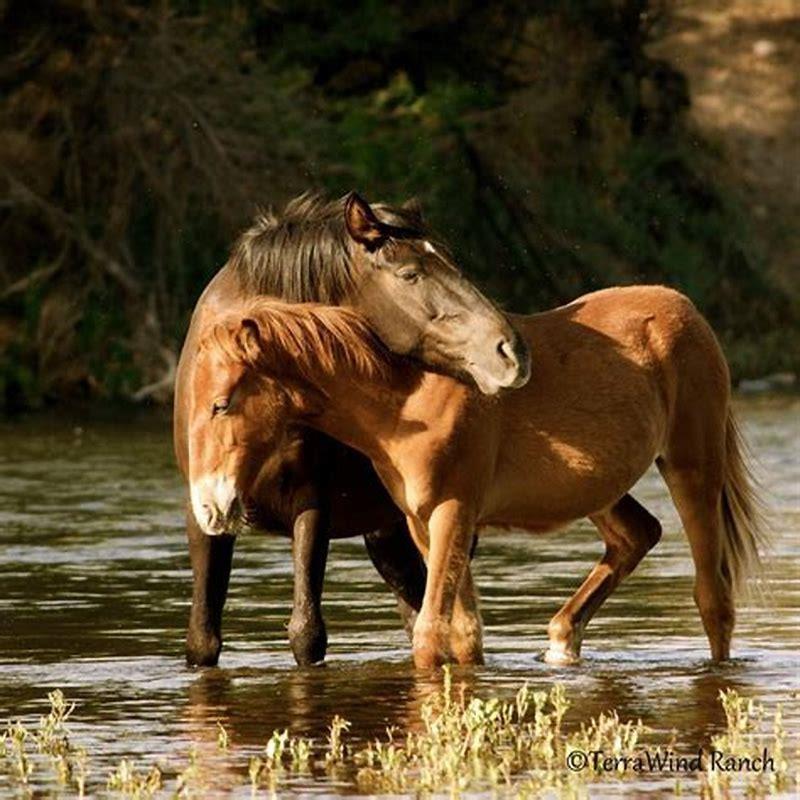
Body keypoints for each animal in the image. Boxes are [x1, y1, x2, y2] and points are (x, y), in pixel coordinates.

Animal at [174, 192, 530, 666]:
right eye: (410, 274)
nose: (511, 351)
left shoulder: (311, 500)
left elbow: (306, 633)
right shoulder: (202, 509)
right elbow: (202, 639)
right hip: (391, 536)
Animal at [186, 285, 767, 668]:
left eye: (221, 404)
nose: (209, 507)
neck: (407, 399)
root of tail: (685, 308)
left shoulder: (454, 512)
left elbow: (428, 633)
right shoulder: (423, 521)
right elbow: (463, 635)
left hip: (693, 466)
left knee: (713, 599)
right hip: (598, 490)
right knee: (637, 535)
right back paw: (562, 640)